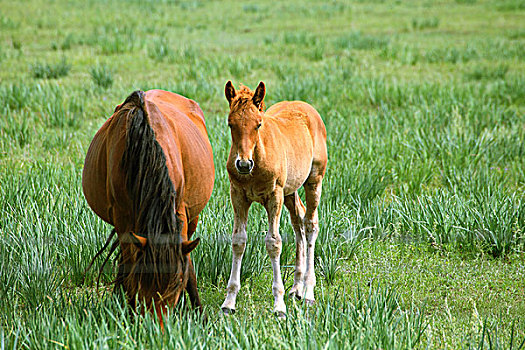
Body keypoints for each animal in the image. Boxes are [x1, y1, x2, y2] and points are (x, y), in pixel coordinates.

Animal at [82, 89, 213, 326]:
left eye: (177, 283)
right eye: (142, 278)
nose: (157, 327)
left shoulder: (179, 211)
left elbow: (188, 265)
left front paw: (200, 314)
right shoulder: (123, 220)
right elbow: (128, 264)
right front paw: (129, 310)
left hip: (192, 217)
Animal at [221, 81, 328, 318]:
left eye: (258, 125)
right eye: (231, 124)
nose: (244, 164)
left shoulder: (274, 196)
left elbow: (274, 243)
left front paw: (279, 305)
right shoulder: (238, 195)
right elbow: (238, 241)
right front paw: (229, 301)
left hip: (314, 180)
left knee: (310, 224)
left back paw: (308, 291)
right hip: (290, 191)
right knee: (298, 222)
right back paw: (297, 288)